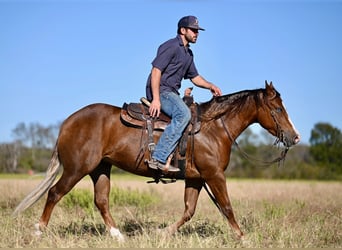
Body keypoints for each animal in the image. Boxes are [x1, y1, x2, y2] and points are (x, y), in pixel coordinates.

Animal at [12, 80, 300, 240]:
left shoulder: (196, 179)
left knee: (101, 201)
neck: (214, 128)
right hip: (76, 169)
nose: (295, 137)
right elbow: (227, 207)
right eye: (277, 108)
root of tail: (67, 123)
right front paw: (242, 237)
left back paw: (118, 236)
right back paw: (38, 230)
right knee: (54, 193)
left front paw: (163, 233)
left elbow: (189, 211)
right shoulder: (214, 175)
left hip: (100, 169)